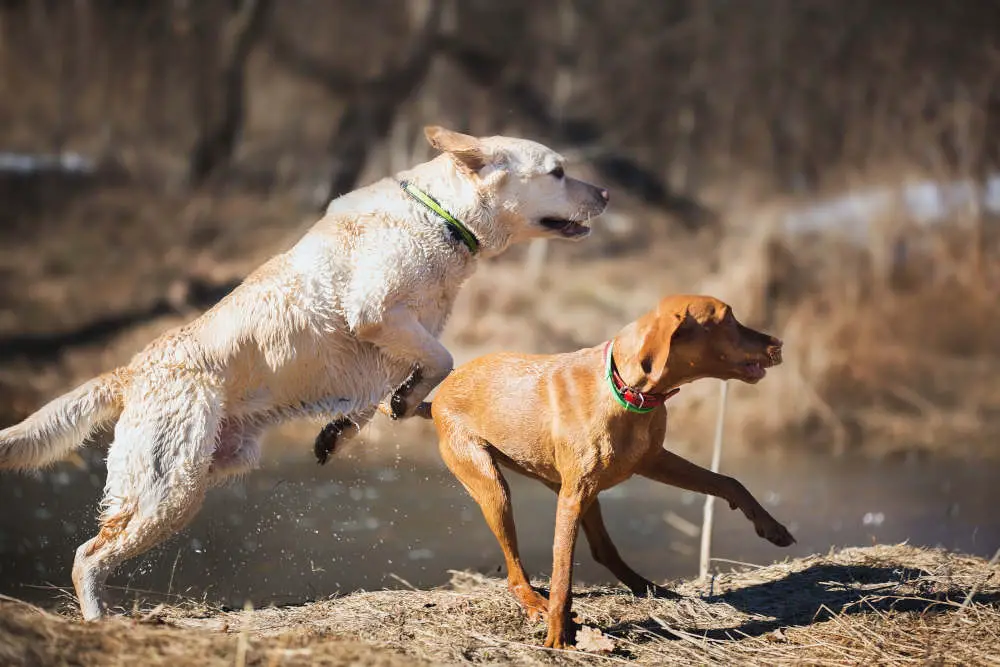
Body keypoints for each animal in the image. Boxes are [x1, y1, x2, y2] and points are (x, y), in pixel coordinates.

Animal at [0, 126, 608, 620]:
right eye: (558, 171)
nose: (605, 194)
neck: (442, 216)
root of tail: (132, 370)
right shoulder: (376, 312)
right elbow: (442, 360)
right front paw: (402, 401)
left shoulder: (386, 350)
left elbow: (392, 392)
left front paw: (348, 428)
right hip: (168, 489)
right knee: (87, 554)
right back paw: (98, 619)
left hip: (211, 469)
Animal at [418, 294, 792, 648]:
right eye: (727, 319)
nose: (779, 343)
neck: (627, 390)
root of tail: (437, 396)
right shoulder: (572, 499)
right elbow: (562, 576)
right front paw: (558, 636)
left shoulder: (653, 461)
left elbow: (729, 482)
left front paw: (771, 526)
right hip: (496, 489)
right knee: (514, 571)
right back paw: (535, 602)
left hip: (569, 486)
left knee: (602, 549)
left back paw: (649, 588)